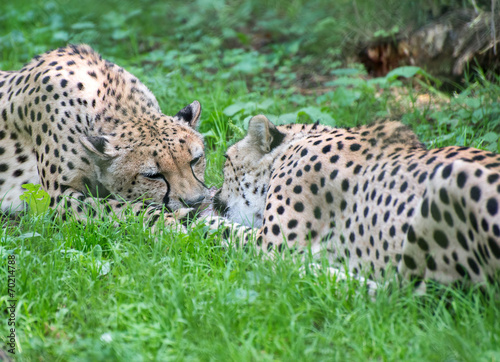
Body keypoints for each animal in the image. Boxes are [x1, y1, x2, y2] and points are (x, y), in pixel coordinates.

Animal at [0, 44, 207, 226]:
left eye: (195, 160)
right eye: (153, 175)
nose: (195, 201)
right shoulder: (54, 197)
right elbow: (115, 207)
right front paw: (168, 223)